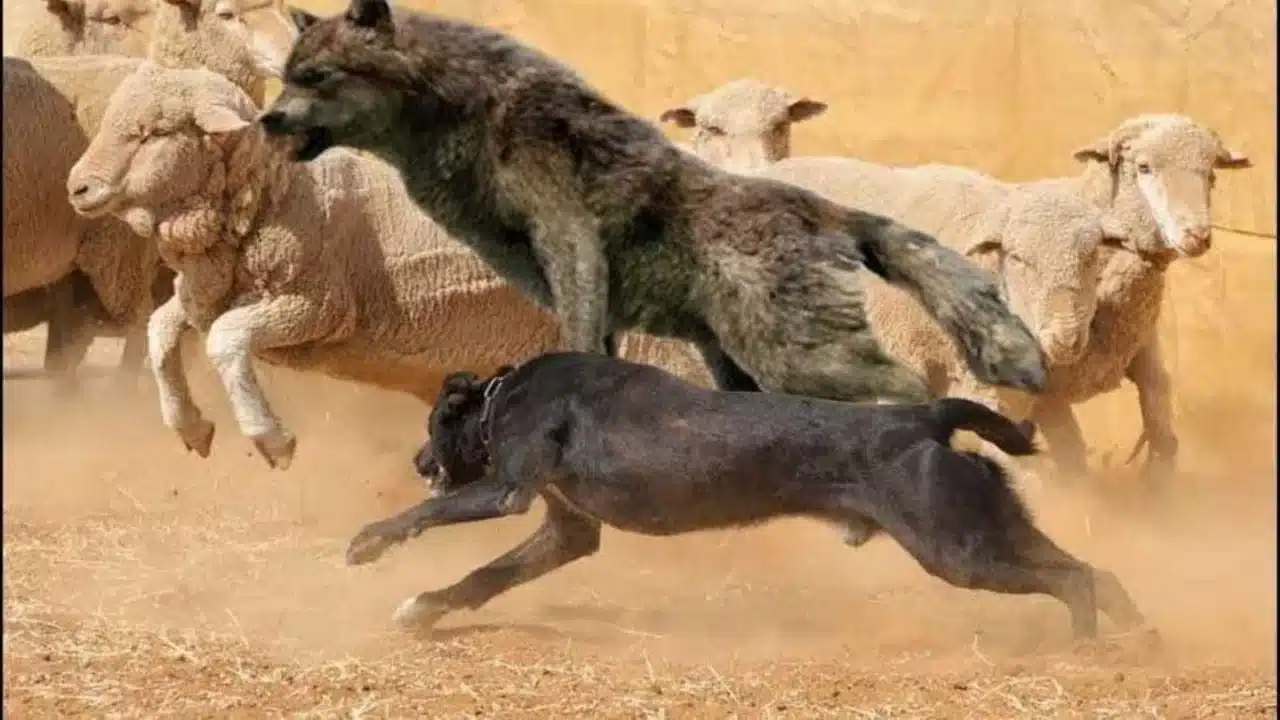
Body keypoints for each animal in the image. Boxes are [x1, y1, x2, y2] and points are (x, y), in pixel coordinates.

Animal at [260, 0, 1048, 406]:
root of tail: (825, 210)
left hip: (796, 360)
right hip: (737, 362)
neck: (461, 111)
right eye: (287, 76)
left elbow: (574, 343)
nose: (267, 120)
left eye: (317, 77)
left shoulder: (569, 238)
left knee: (911, 386)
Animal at [345, 351, 1148, 642]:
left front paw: (369, 542)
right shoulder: (567, 531)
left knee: (1075, 580)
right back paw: (1142, 638)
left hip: (958, 550)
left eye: (432, 427)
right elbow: (485, 578)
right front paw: (422, 610)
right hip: (987, 530)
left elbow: (427, 516)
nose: (419, 459)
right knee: (1098, 571)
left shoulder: (508, 491)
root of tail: (925, 415)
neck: (502, 394)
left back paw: (1084, 648)